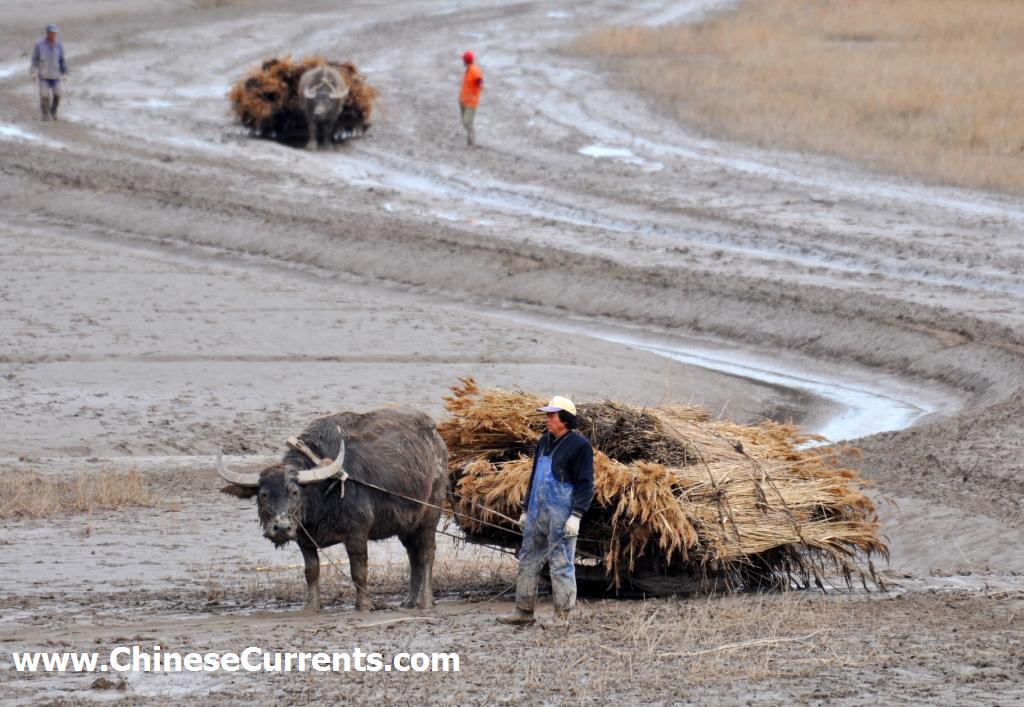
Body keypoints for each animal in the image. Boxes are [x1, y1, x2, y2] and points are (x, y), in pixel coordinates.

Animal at [218, 407, 446, 610]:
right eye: (263, 495)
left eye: (294, 493)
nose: (281, 528)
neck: (322, 493)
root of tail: (437, 440)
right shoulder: (304, 539)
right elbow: (311, 571)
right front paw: (312, 605)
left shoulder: (357, 533)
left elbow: (359, 571)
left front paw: (364, 605)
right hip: (406, 524)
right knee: (413, 555)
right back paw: (411, 600)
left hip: (429, 515)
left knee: (427, 553)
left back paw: (425, 601)